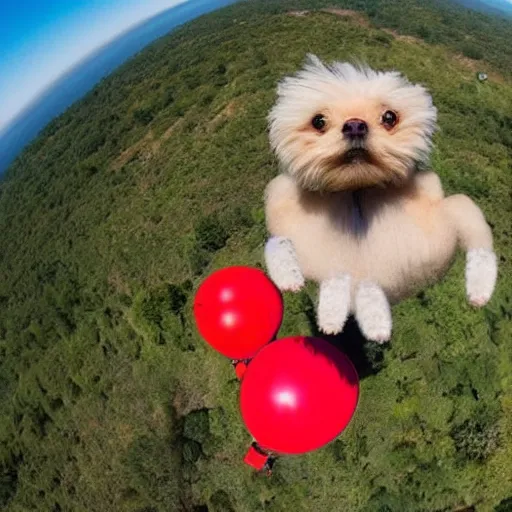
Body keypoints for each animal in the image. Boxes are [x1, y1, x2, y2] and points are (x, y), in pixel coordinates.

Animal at [264, 55, 496, 344]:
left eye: (389, 117)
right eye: (318, 121)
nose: (355, 124)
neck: (355, 193)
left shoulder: (437, 206)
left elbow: (474, 227)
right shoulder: (284, 212)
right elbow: (277, 246)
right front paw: (291, 282)